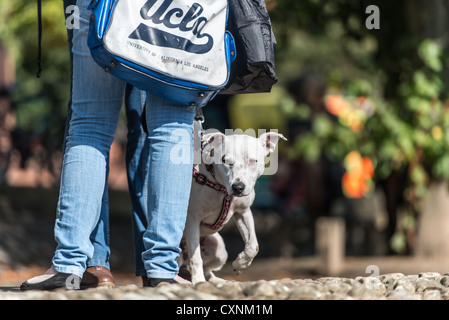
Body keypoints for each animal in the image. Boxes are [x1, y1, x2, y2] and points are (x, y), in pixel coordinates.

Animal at [180, 126, 286, 284]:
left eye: (252, 161)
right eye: (225, 160)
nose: (238, 187)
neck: (221, 188)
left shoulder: (243, 212)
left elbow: (253, 245)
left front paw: (240, 264)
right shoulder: (192, 219)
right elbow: (196, 257)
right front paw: (198, 281)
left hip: (219, 250)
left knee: (208, 269)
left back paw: (218, 281)